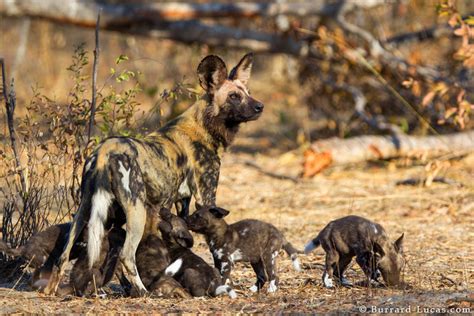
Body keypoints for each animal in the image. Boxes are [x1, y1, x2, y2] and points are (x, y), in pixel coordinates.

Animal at [45, 52, 264, 296]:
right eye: (234, 96)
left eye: (248, 92)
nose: (260, 106)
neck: (204, 126)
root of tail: (104, 151)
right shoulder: (206, 197)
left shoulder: (182, 202)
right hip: (136, 211)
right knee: (126, 255)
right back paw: (142, 291)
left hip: (84, 209)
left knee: (63, 255)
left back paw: (52, 291)